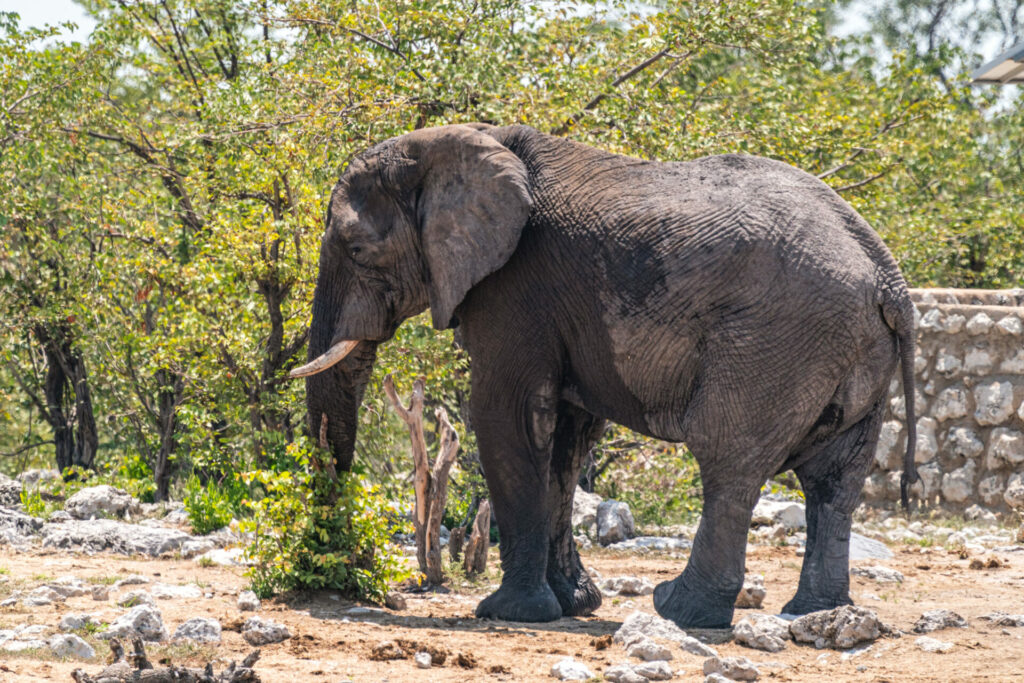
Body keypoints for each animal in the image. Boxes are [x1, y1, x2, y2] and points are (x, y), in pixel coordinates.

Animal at [291, 123, 918, 628]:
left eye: (356, 249)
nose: (344, 570)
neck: (461, 141)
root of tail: (888, 278)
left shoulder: (516, 284)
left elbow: (506, 416)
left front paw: (509, 612)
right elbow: (567, 442)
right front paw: (574, 605)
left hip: (777, 341)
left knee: (728, 460)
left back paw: (680, 609)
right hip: (852, 353)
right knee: (835, 480)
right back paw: (815, 613)